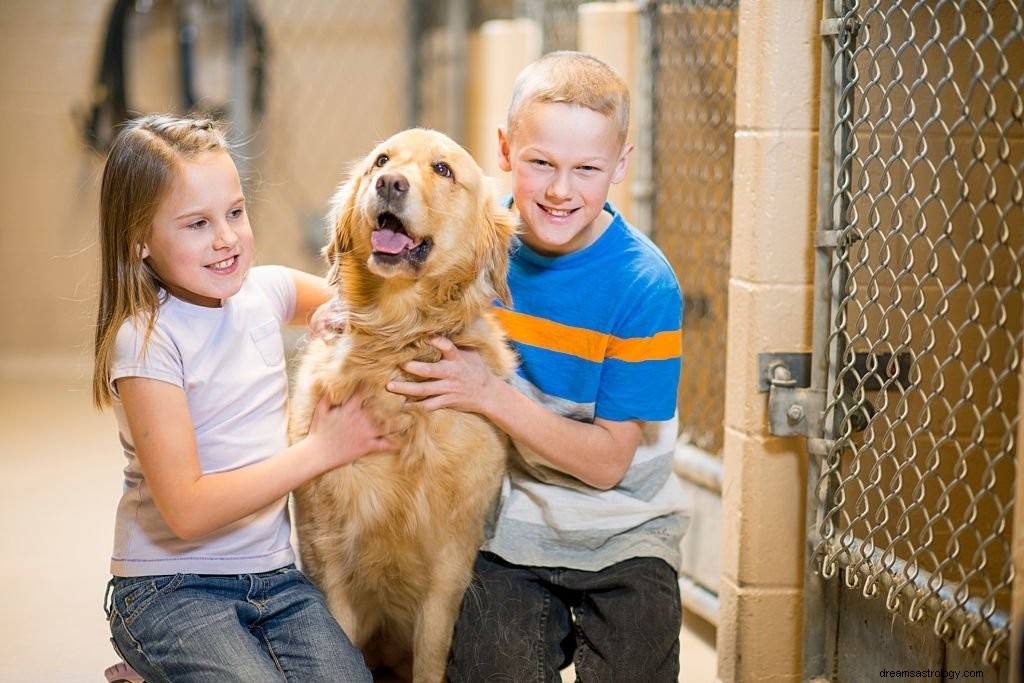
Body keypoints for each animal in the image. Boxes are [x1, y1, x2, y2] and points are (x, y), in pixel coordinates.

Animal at [286, 129, 516, 683]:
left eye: (443, 170)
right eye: (381, 161)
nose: (390, 183)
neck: (395, 343)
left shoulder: (450, 565)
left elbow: (431, 654)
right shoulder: (327, 552)